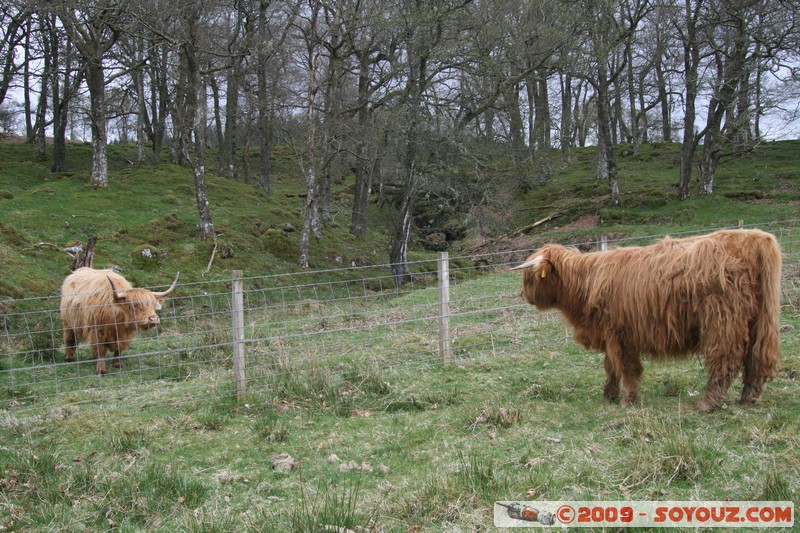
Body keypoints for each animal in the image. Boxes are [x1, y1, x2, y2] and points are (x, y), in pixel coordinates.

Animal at [512, 229, 780, 412]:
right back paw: (748, 397)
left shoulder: (621, 333)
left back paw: (708, 403)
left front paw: (627, 399)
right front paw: (608, 395)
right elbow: (610, 366)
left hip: (722, 321)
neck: (584, 284)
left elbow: (627, 367)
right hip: (758, 320)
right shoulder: (609, 333)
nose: (523, 295)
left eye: (530, 278)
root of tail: (752, 237)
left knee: (726, 359)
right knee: (755, 358)